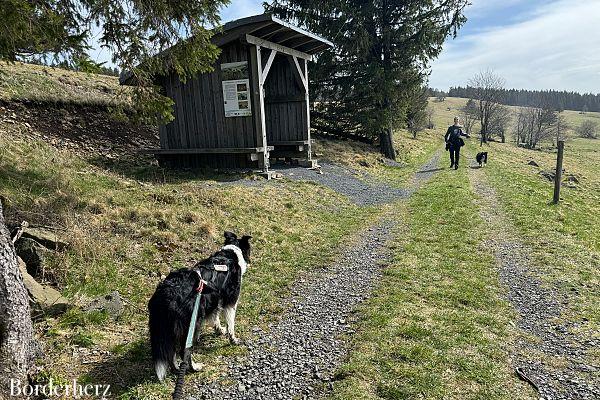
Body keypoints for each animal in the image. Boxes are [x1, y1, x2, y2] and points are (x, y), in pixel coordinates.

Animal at [150, 231, 253, 382]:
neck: (230, 255)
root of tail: (166, 294)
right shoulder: (230, 300)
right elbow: (230, 324)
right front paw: (233, 339)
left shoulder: (215, 298)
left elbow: (215, 317)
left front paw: (219, 330)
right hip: (189, 323)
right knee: (183, 350)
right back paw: (194, 367)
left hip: (171, 328)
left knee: (171, 352)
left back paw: (176, 369)